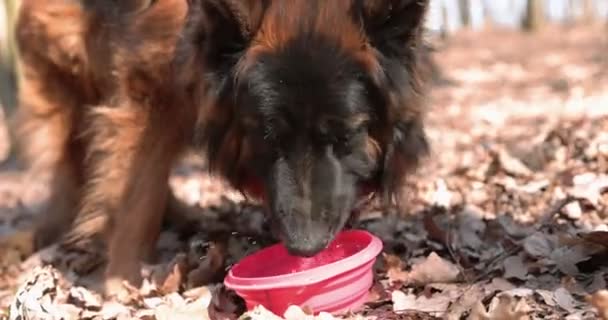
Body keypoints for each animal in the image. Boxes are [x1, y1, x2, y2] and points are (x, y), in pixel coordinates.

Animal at [13, 0, 432, 298]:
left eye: (345, 136)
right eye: (267, 136)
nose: (306, 247)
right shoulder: (147, 93)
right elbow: (135, 195)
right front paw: (122, 282)